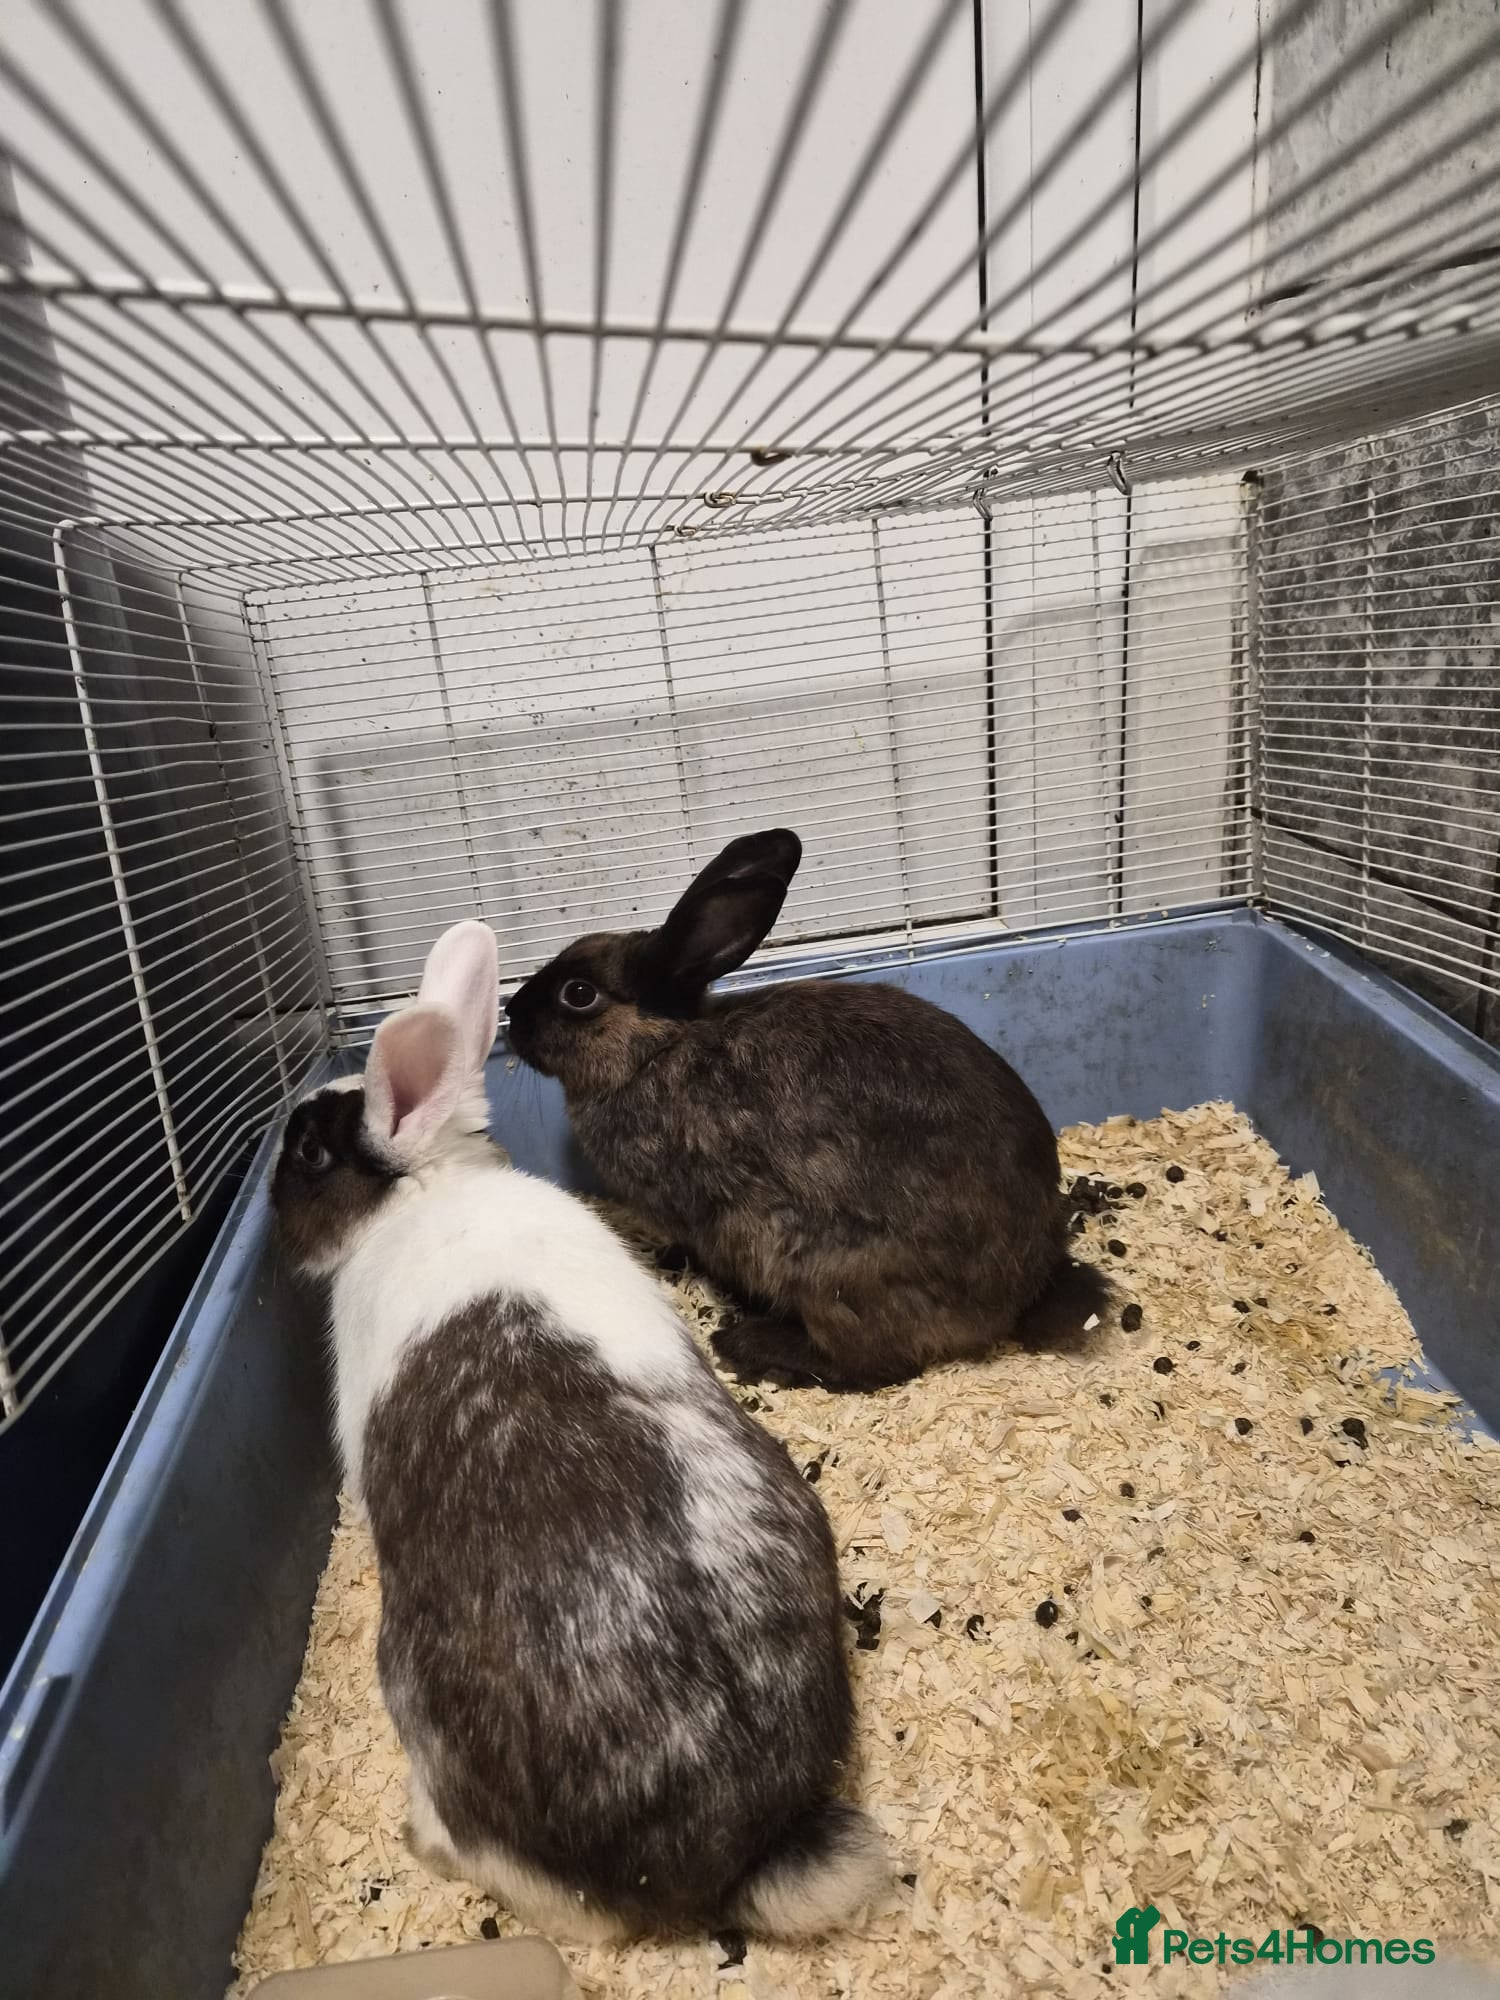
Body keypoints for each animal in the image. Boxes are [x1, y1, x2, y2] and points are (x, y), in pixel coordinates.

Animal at [270, 919, 885, 1943]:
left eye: (312, 1156)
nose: (266, 1178)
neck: (424, 1193)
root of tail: (744, 1851)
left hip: (422, 1701)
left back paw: (422, 1836)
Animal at [504, 829, 1111, 1393]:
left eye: (578, 994)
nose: (511, 1018)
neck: (654, 1050)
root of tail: (1020, 1293)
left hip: (827, 1271)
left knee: (874, 1365)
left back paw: (750, 1346)